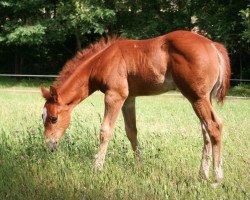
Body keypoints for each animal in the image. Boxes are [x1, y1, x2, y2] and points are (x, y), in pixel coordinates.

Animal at [41, 30, 230, 185]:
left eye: (53, 118)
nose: (49, 146)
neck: (102, 61)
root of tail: (213, 46)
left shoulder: (115, 96)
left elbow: (105, 130)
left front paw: (97, 167)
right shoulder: (129, 98)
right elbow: (132, 132)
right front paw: (140, 167)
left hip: (197, 97)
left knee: (214, 126)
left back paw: (217, 178)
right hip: (202, 98)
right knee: (205, 131)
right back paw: (202, 175)